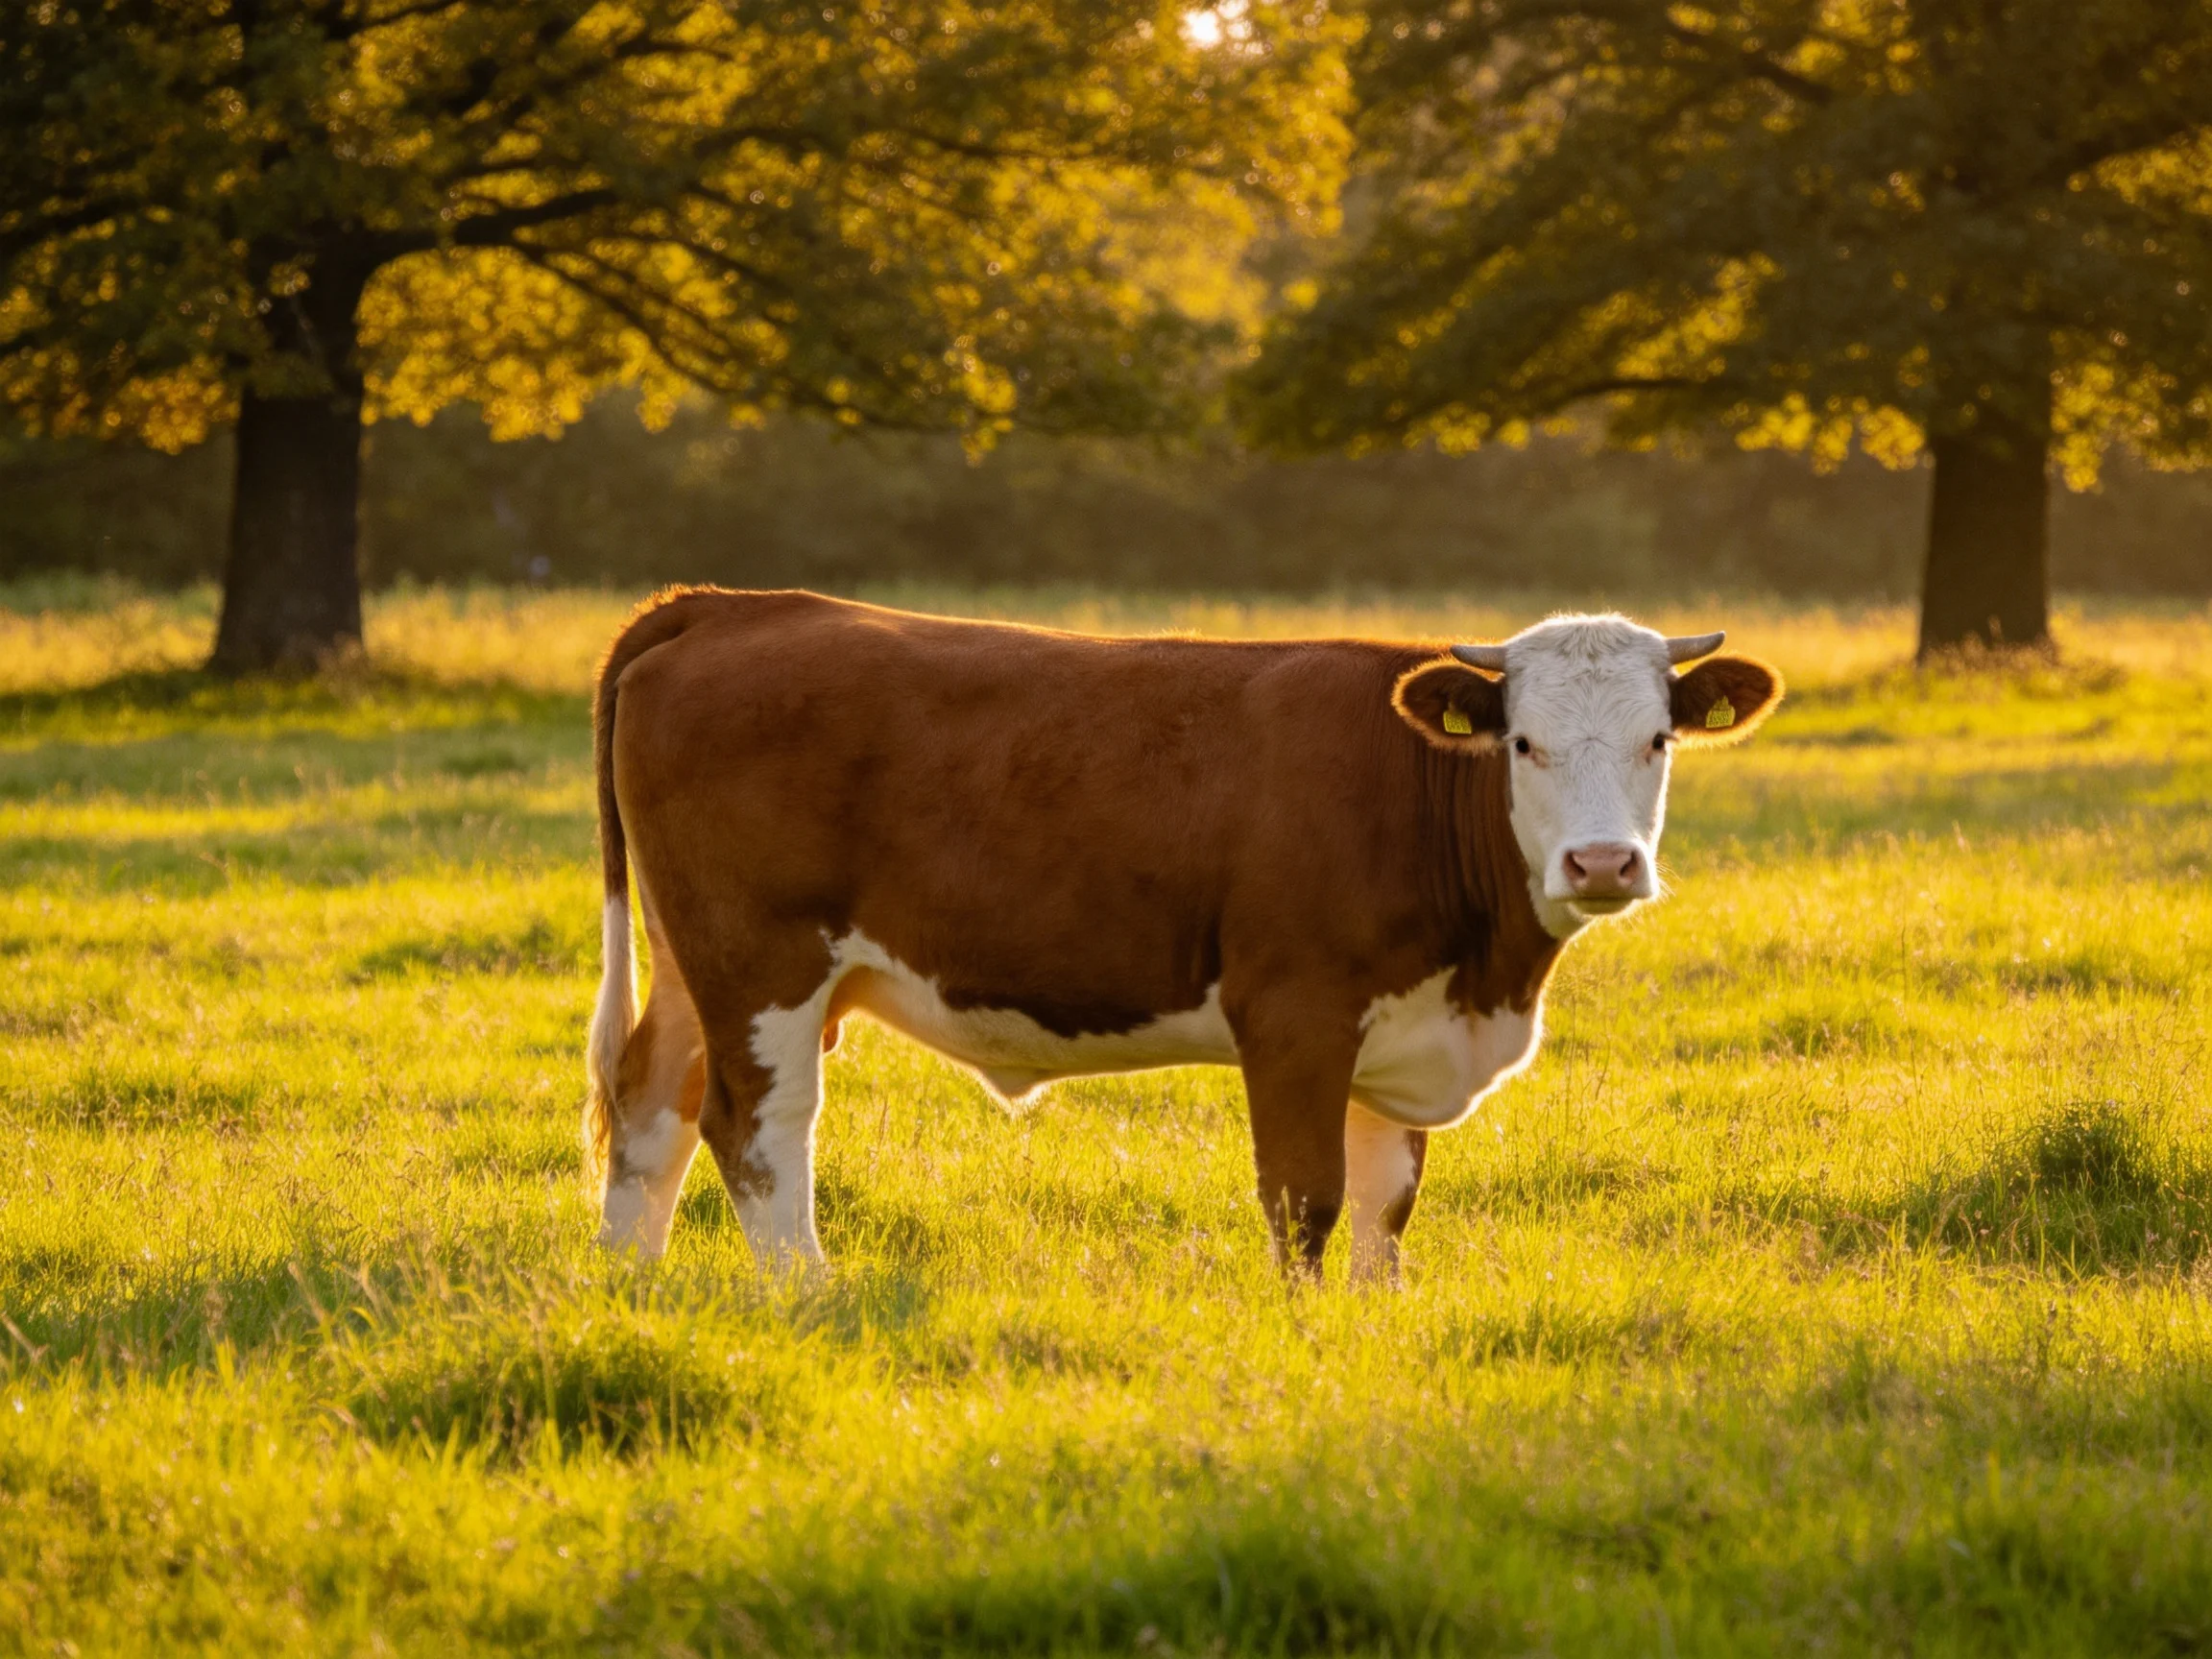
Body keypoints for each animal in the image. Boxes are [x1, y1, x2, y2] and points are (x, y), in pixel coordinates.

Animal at [583, 590, 1781, 1282]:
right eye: (1523, 743)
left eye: (1659, 738)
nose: (1602, 864)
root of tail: (733, 604)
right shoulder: (1293, 1014)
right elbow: (1305, 1202)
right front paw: (1303, 1342)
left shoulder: (1404, 1030)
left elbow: (1385, 1209)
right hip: (764, 960)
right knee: (758, 1128)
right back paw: (810, 1298)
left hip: (694, 961)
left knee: (652, 1105)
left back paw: (628, 1289)